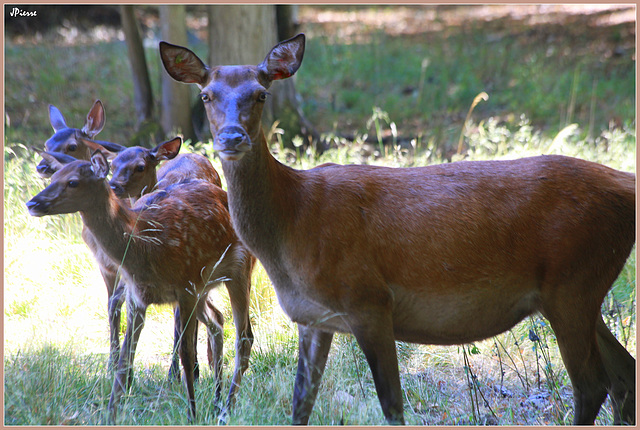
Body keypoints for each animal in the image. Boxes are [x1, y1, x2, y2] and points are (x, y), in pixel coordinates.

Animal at [25, 152, 255, 424]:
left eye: (72, 182)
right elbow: (125, 359)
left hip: (239, 269)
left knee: (244, 337)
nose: (32, 203)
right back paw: (218, 401)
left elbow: (186, 355)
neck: (146, 245)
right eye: (54, 177)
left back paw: (226, 409)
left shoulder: (185, 286)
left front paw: (191, 415)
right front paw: (110, 416)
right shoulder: (138, 296)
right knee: (217, 320)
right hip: (205, 287)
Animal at [160, 35, 636, 424]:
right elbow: (301, 405)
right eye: (206, 95)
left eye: (260, 94)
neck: (294, 224)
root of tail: (627, 187)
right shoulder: (314, 317)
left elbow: (392, 405)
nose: (232, 138)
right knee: (623, 374)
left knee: (592, 383)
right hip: (579, 290)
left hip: (572, 280)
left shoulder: (370, 300)